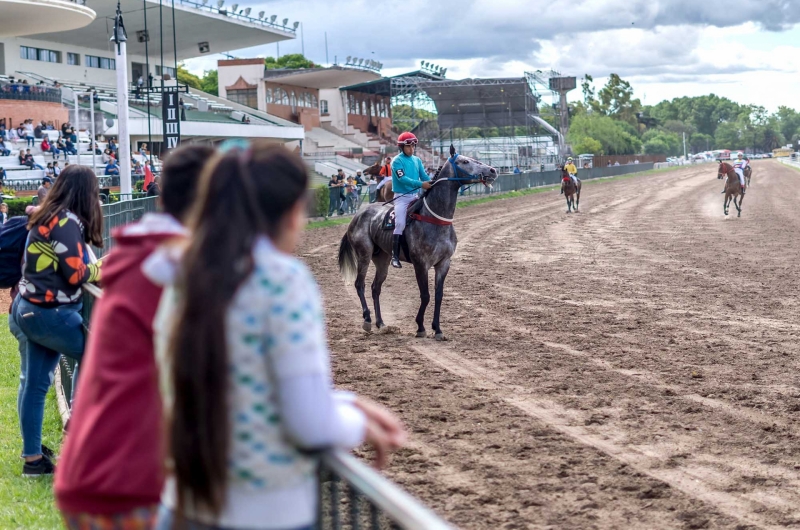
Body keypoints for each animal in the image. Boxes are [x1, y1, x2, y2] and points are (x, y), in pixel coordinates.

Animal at [336, 145, 496, 338]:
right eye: (464, 161)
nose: (492, 170)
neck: (435, 220)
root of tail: (358, 214)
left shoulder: (444, 263)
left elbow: (438, 295)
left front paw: (437, 329)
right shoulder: (421, 264)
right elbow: (425, 295)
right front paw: (420, 326)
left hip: (382, 259)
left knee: (375, 288)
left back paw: (381, 323)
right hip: (364, 254)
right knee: (360, 284)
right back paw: (367, 319)